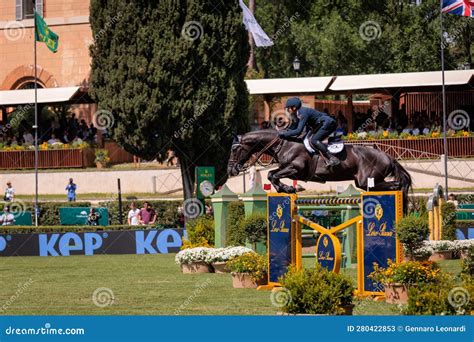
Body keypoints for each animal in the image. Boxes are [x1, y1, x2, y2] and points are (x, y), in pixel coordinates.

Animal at [226, 130, 412, 210]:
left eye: (234, 149)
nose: (231, 170)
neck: (283, 144)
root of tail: (388, 156)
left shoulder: (296, 169)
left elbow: (272, 174)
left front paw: (289, 188)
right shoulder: (287, 168)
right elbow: (272, 174)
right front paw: (286, 189)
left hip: (366, 181)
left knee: (395, 185)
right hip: (365, 182)